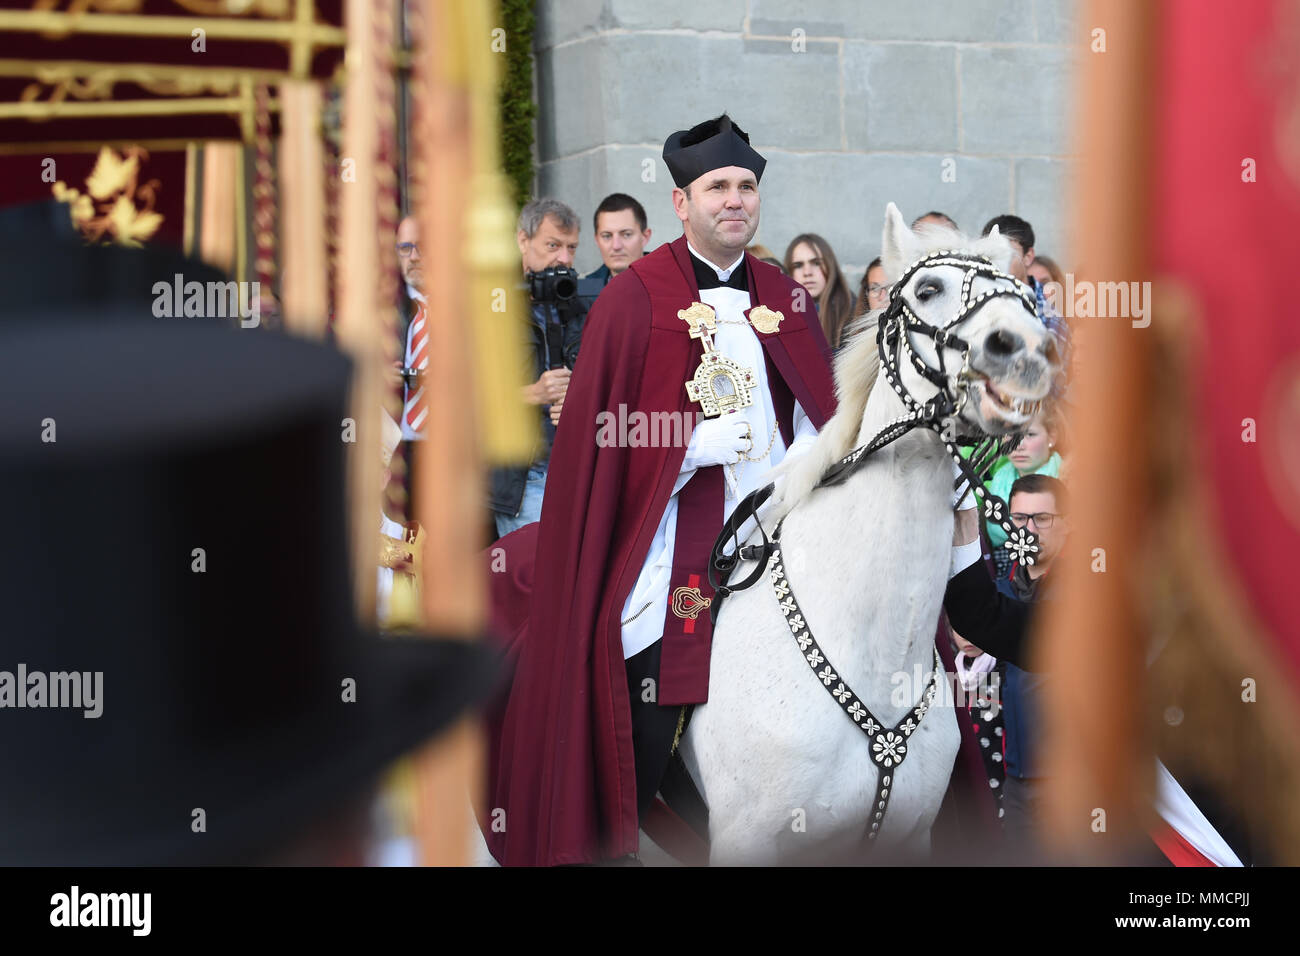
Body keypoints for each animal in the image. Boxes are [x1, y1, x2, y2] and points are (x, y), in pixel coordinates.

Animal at [676, 204, 1060, 868]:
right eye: (926, 289)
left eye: (1022, 294)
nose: (1025, 355)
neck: (877, 654)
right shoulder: (747, 842)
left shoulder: (905, 838)